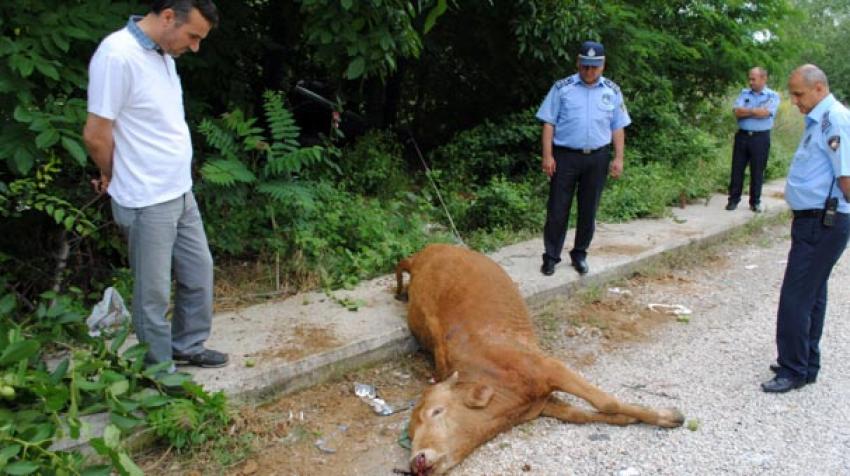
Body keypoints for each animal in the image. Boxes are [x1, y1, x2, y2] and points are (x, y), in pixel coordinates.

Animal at [396, 245, 684, 476]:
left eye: (437, 411)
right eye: (409, 433)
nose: (416, 461)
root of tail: (425, 254)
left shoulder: (548, 368)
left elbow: (606, 403)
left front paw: (665, 415)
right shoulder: (542, 403)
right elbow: (579, 414)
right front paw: (634, 418)